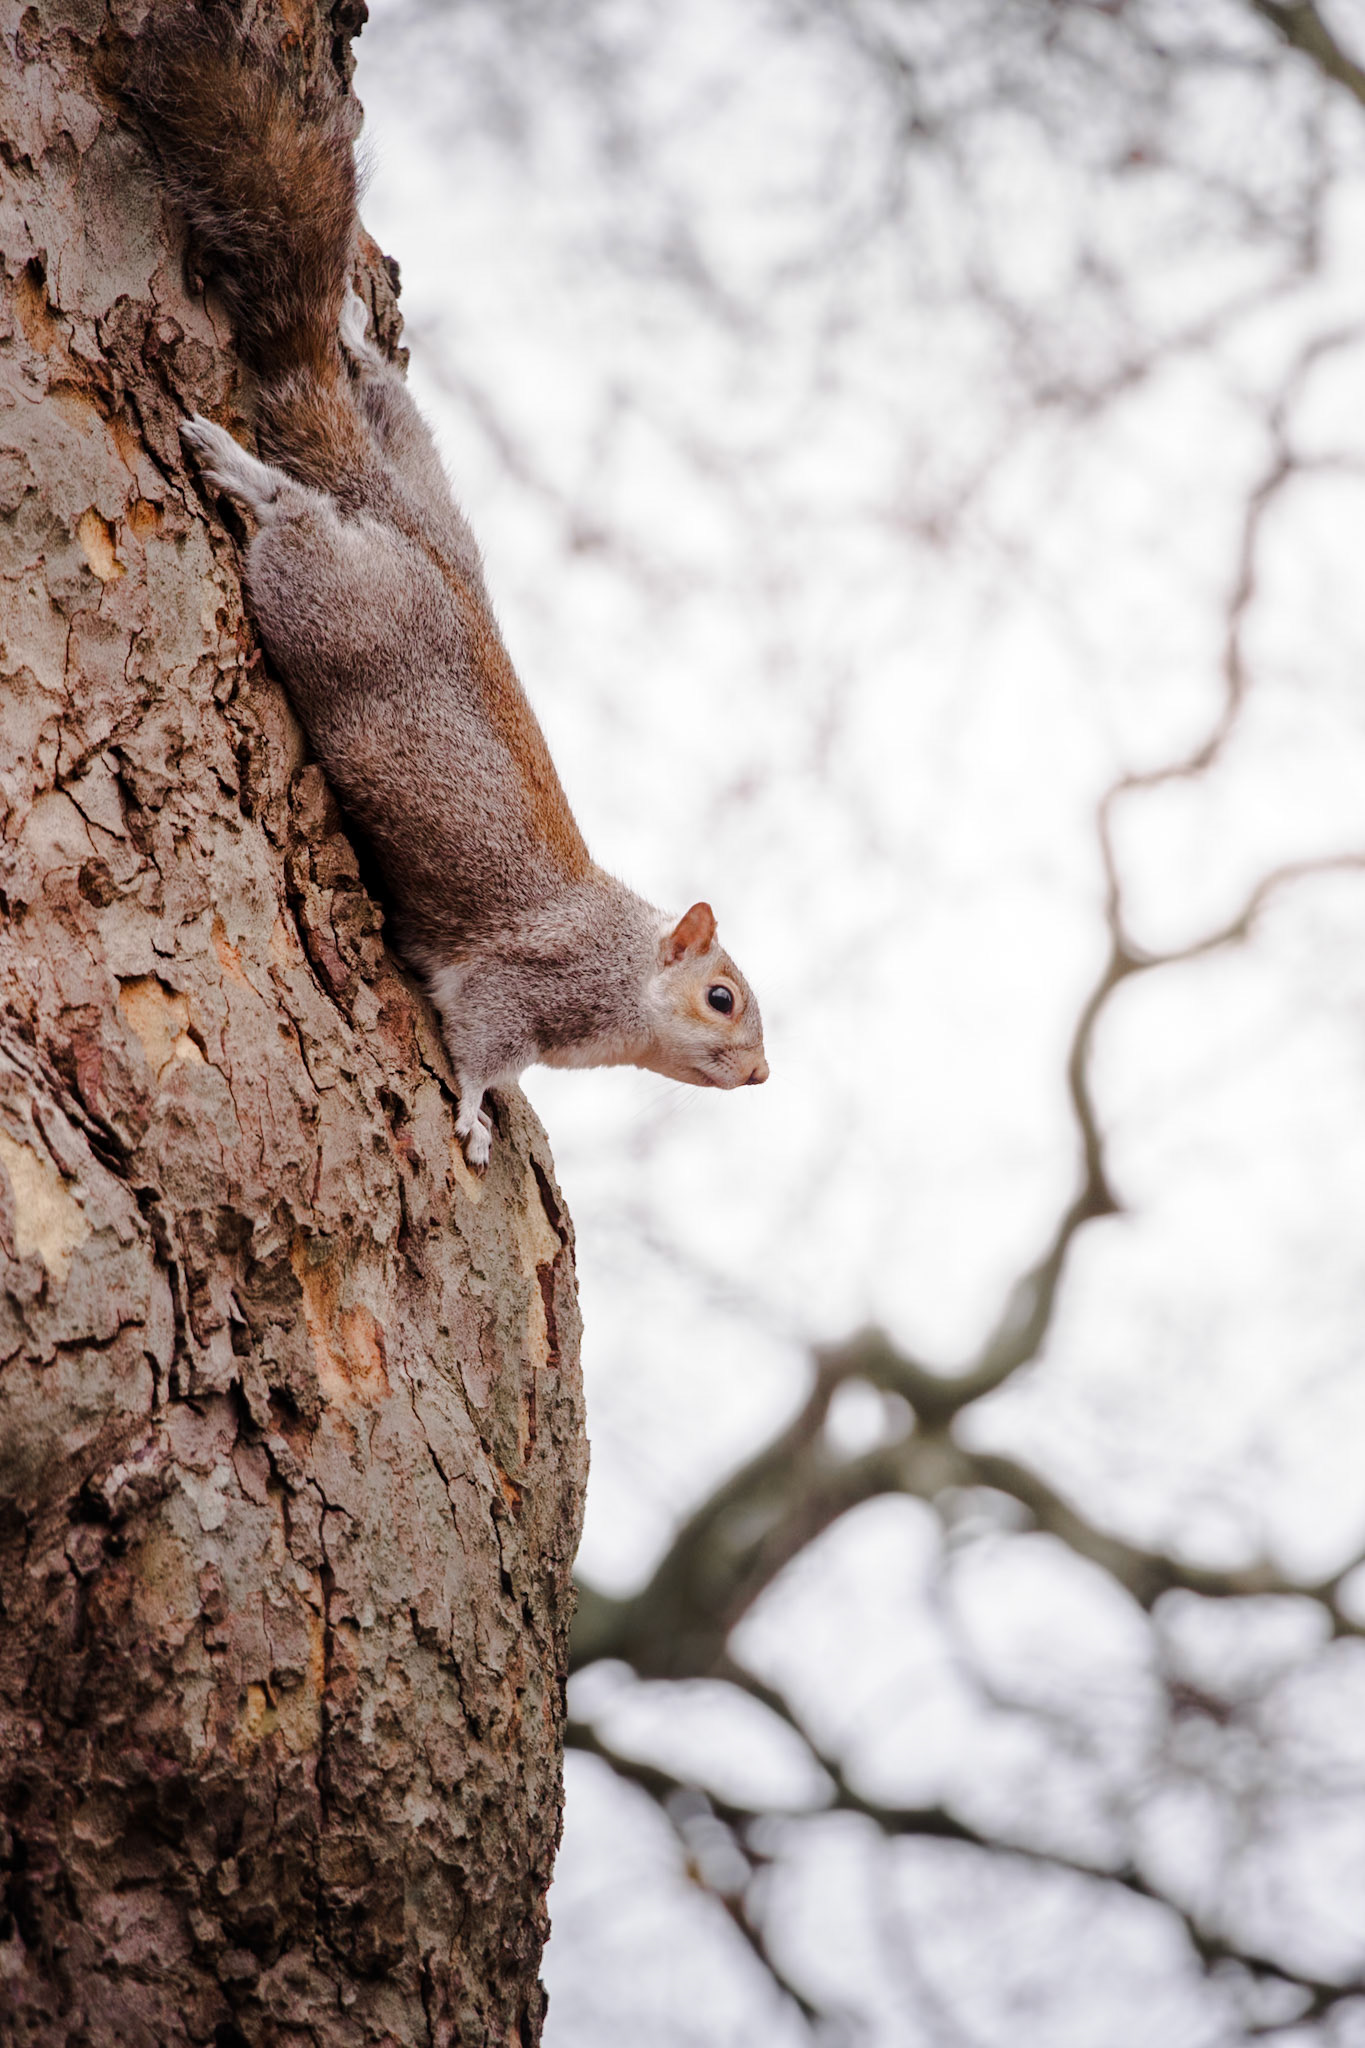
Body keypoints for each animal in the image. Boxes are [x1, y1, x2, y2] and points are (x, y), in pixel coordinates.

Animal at [121, 6, 767, 1169]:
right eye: (723, 998)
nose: (763, 1074)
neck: (619, 973)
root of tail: (412, 544)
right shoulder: (517, 989)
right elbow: (480, 1048)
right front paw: (472, 1114)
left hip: (408, 461)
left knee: (370, 397)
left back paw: (350, 337)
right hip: (330, 603)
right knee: (294, 525)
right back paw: (247, 473)